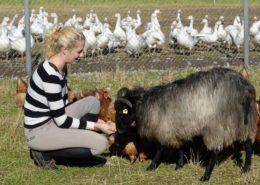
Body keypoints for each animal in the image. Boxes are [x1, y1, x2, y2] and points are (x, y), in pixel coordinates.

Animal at [115, 67, 256, 181]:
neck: (145, 104)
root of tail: (243, 89)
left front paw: (152, 166)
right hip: (244, 122)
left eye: (124, 111)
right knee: (248, 143)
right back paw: (246, 168)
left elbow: (160, 148)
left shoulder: (164, 129)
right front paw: (179, 165)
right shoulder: (178, 128)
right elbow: (181, 147)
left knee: (215, 150)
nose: (119, 130)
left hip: (216, 125)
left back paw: (206, 176)